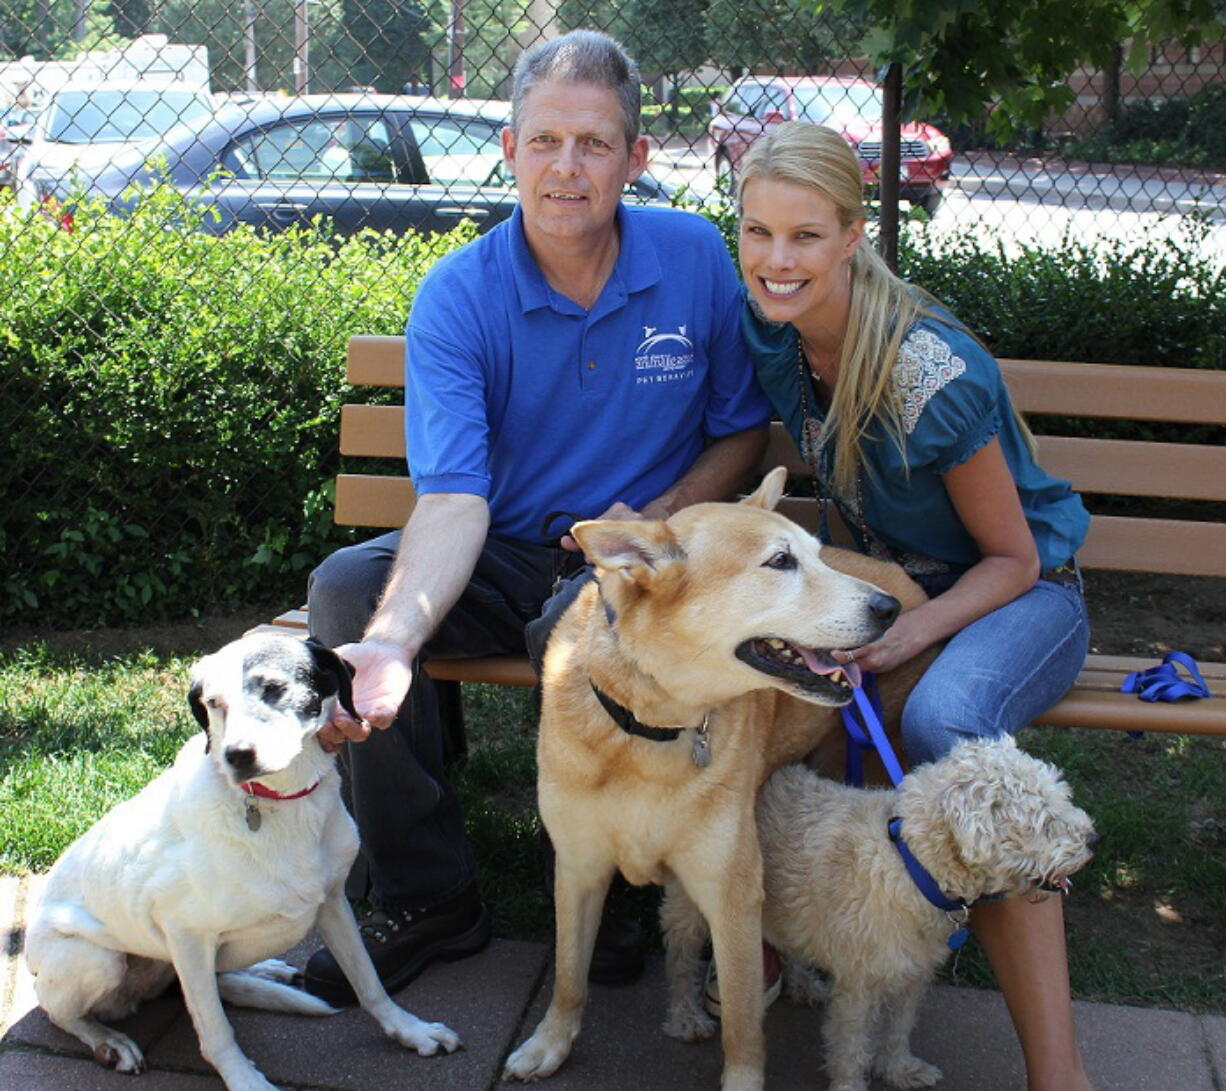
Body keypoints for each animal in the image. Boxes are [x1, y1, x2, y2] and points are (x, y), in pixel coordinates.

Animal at [666, 730, 1098, 1088]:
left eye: (1062, 797)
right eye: (1044, 819)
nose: (1094, 839)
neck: (910, 861)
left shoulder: (912, 974)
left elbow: (897, 1030)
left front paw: (899, 1070)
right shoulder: (858, 986)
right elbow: (851, 1049)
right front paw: (852, 1085)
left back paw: (804, 985)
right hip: (691, 907)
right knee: (681, 958)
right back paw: (686, 1017)